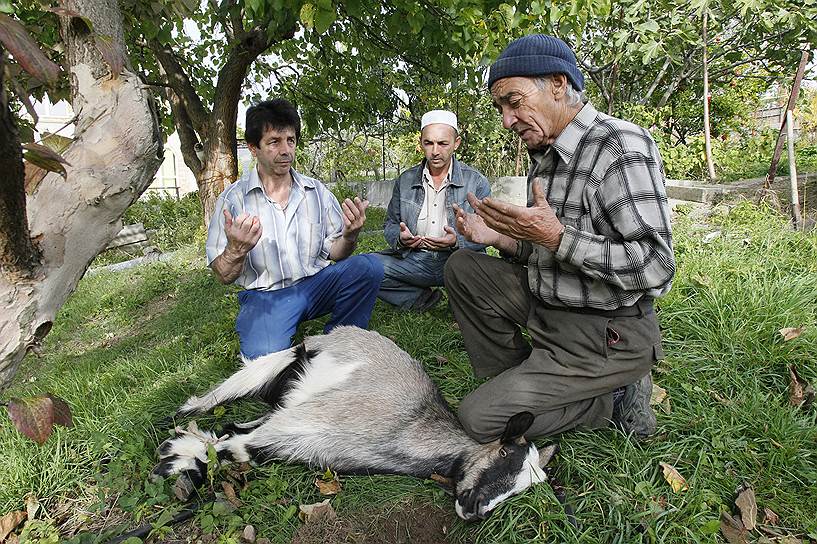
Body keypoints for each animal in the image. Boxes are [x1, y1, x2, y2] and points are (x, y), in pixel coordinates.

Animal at [152, 326, 556, 520]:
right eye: (504, 455)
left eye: (524, 488)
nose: (476, 511)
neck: (408, 429)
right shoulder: (309, 418)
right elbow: (230, 445)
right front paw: (173, 460)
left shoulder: (299, 441)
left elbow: (237, 444)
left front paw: (182, 460)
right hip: (278, 366)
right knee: (221, 399)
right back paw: (183, 415)